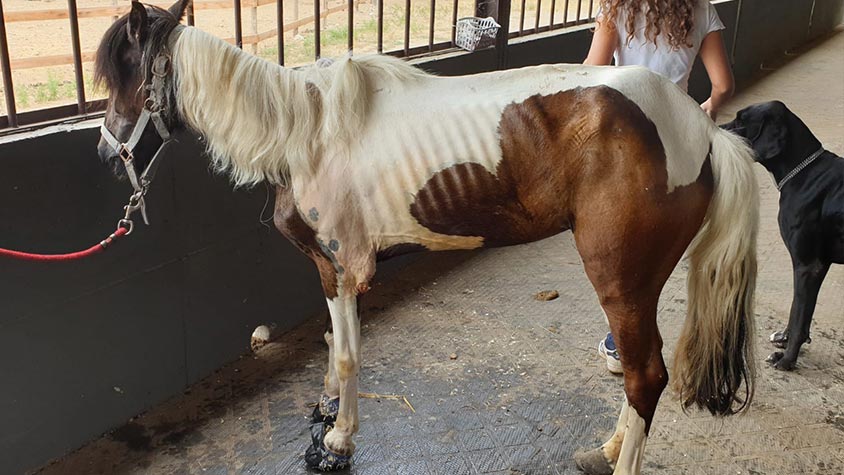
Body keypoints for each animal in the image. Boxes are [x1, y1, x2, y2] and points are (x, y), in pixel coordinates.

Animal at [95, 2, 759, 473]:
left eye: (126, 74)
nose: (106, 151)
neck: (306, 129)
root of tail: (702, 132)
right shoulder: (324, 268)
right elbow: (333, 346)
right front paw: (325, 410)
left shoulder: (345, 266)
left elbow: (348, 352)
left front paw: (338, 440)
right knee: (641, 373)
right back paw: (609, 446)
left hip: (620, 278)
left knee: (646, 375)